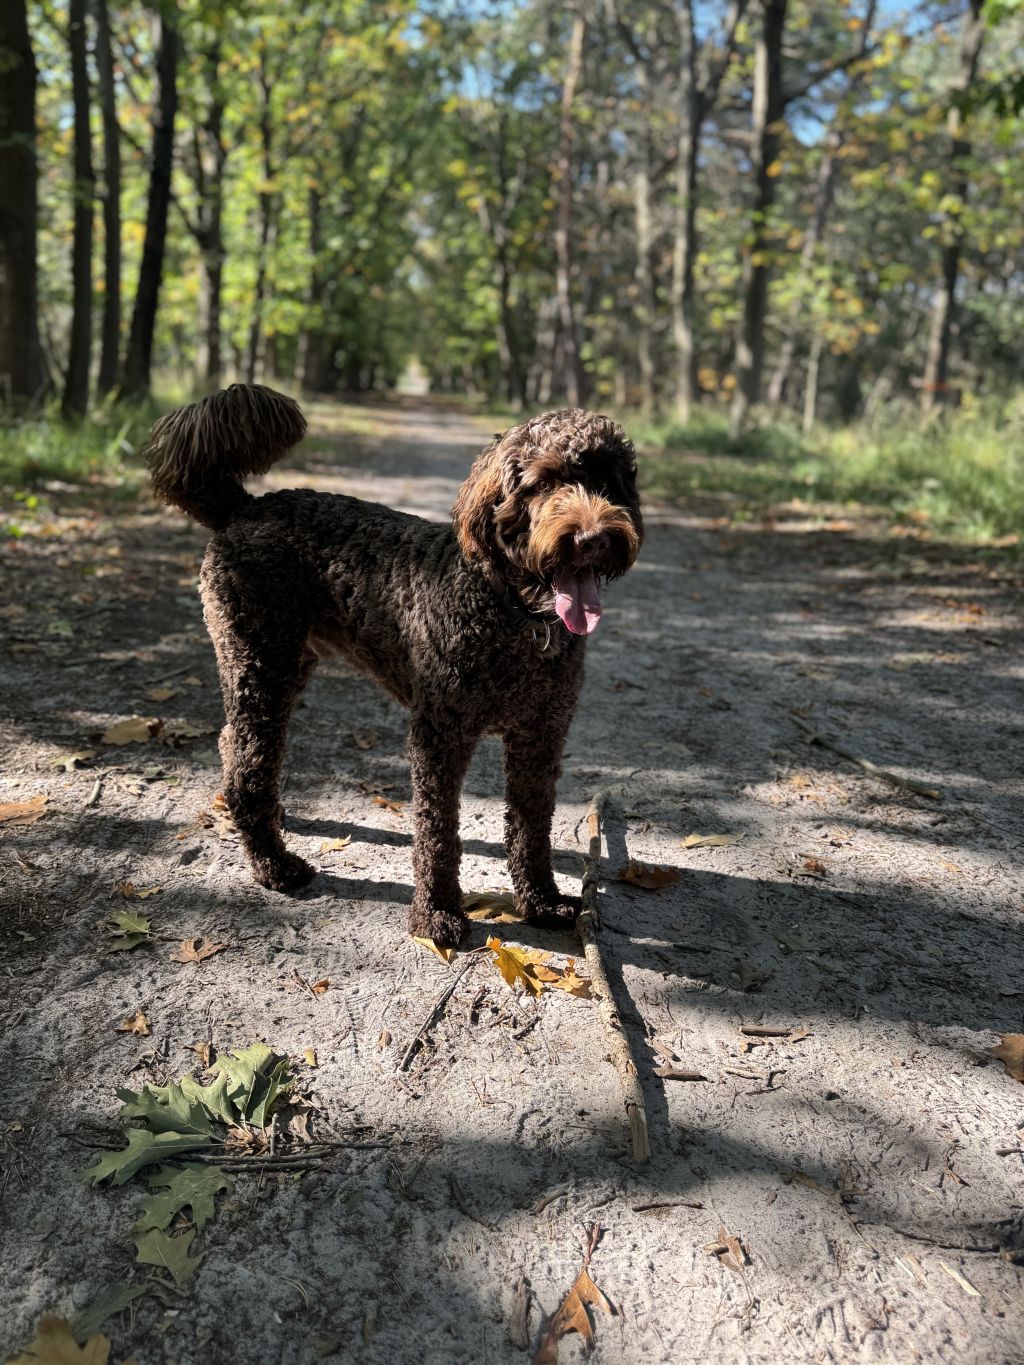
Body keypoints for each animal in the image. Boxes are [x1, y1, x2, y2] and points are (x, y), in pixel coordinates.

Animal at [145, 385, 642, 946]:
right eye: (545, 481)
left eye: (608, 481)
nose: (593, 539)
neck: (513, 611)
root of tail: (244, 508)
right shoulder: (439, 734)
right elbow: (439, 831)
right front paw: (437, 913)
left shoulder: (541, 735)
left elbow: (531, 826)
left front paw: (541, 902)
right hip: (261, 665)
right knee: (251, 767)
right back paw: (274, 864)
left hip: (280, 664)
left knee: (234, 744)